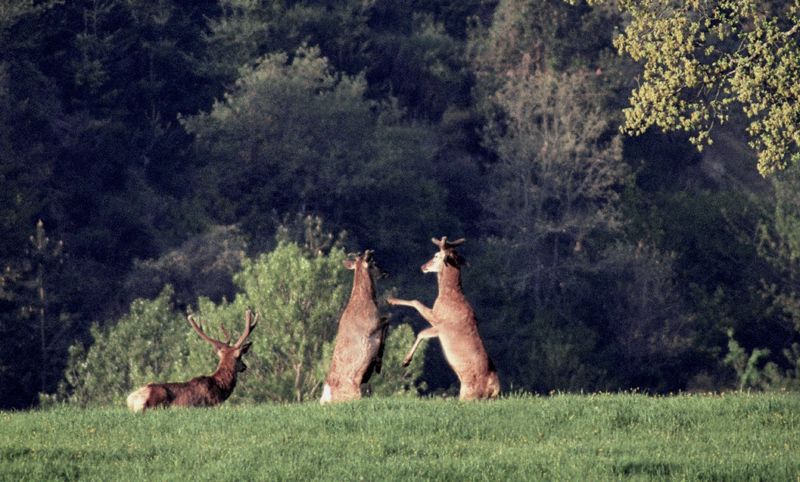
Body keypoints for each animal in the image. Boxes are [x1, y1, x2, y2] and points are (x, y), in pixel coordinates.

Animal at [124, 310, 260, 412]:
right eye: (240, 356)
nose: (244, 366)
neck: (220, 388)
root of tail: (130, 401)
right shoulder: (214, 404)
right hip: (157, 400)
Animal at [322, 249, 390, 402]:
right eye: (374, 263)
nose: (385, 272)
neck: (366, 300)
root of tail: (327, 395)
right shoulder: (372, 325)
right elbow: (388, 321)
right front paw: (378, 363)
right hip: (354, 393)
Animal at [388, 236, 500, 400]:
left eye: (436, 256)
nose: (423, 266)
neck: (449, 296)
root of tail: (493, 389)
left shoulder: (440, 322)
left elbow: (419, 316)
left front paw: (406, 361)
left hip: (468, 393)